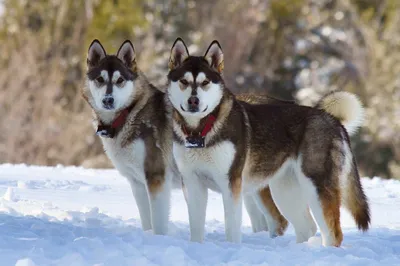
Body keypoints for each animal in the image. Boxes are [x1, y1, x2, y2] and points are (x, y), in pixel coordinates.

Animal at [82, 39, 176, 235]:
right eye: (100, 79)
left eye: (120, 80)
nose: (108, 100)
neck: (129, 114)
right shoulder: (137, 183)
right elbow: (147, 221)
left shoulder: (157, 177)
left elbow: (158, 224)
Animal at [166, 38, 368, 246]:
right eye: (184, 81)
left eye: (205, 82)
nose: (193, 101)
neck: (201, 131)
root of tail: (332, 119)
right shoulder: (192, 182)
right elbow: (196, 227)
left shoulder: (231, 183)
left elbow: (232, 227)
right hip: (285, 190)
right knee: (306, 227)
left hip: (316, 187)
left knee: (333, 233)